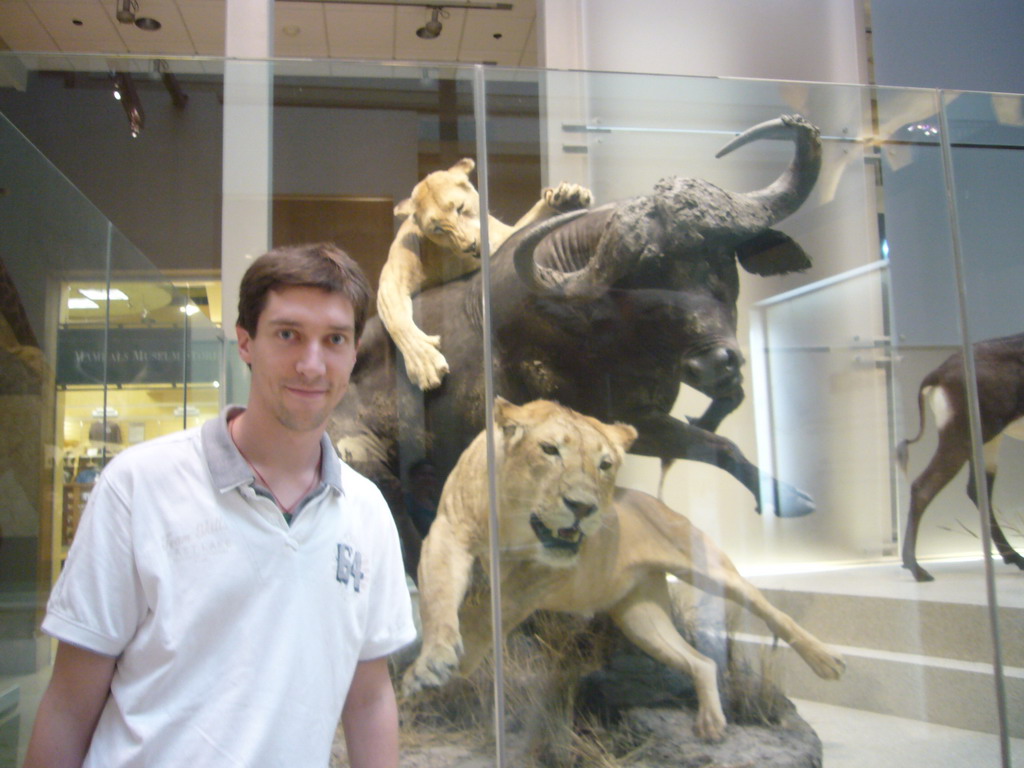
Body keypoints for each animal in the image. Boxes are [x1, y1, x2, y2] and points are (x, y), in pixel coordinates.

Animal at [331, 112, 819, 573]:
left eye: (720, 260)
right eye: (646, 281)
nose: (716, 361)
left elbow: (722, 424)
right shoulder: (625, 422)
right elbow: (718, 445)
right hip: (358, 455)